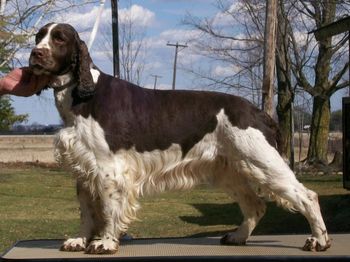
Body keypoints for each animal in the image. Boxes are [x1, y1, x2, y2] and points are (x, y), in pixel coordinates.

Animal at [29, 23, 330, 255]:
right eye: (38, 36)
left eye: (59, 38)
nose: (35, 54)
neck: (82, 94)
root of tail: (258, 112)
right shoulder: (84, 170)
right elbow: (87, 211)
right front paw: (79, 240)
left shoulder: (109, 169)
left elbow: (108, 208)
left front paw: (105, 242)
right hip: (229, 170)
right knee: (255, 205)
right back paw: (238, 236)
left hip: (263, 162)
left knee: (307, 196)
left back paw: (319, 240)